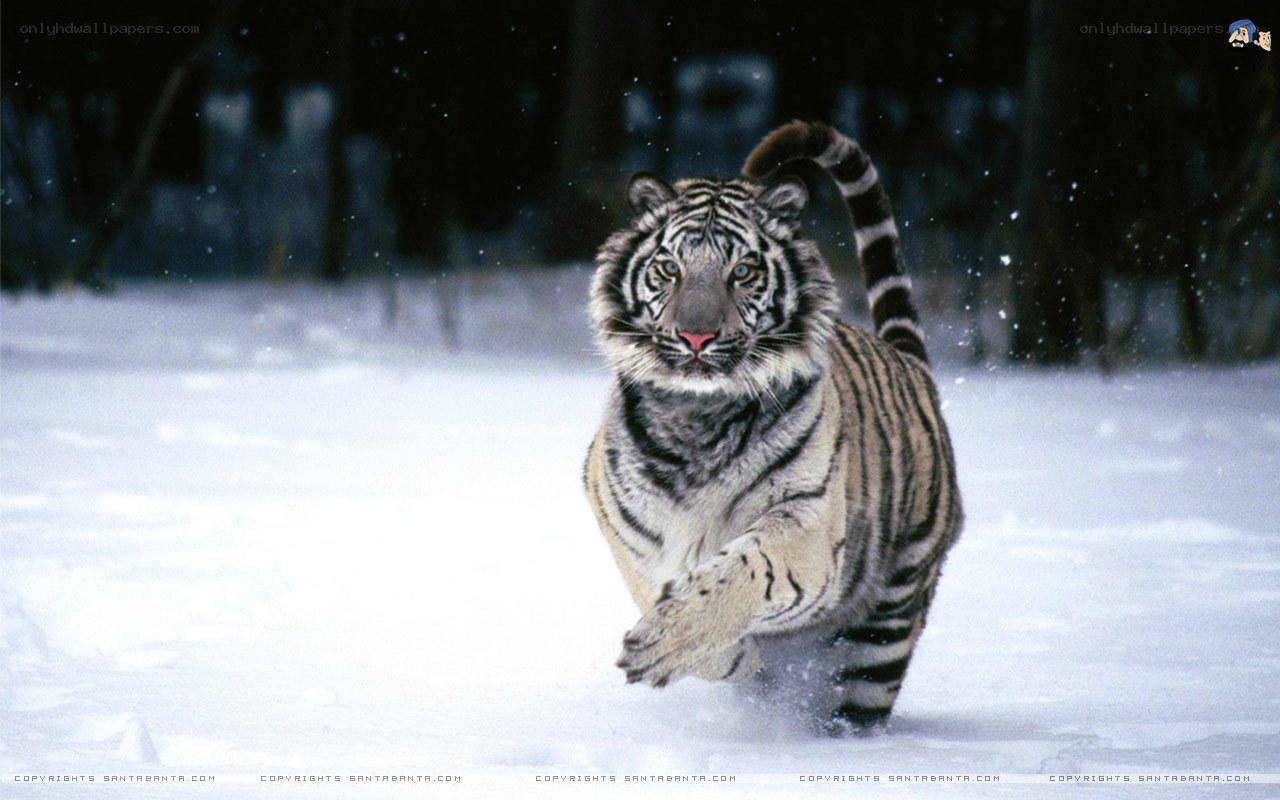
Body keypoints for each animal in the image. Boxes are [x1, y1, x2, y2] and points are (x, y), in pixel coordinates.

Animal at [583, 120, 963, 733]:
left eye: (742, 271)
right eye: (670, 269)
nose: (695, 336)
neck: (696, 416)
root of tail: (913, 367)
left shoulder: (809, 520)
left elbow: (741, 571)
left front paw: (667, 641)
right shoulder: (627, 528)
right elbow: (659, 588)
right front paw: (730, 658)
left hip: (886, 625)